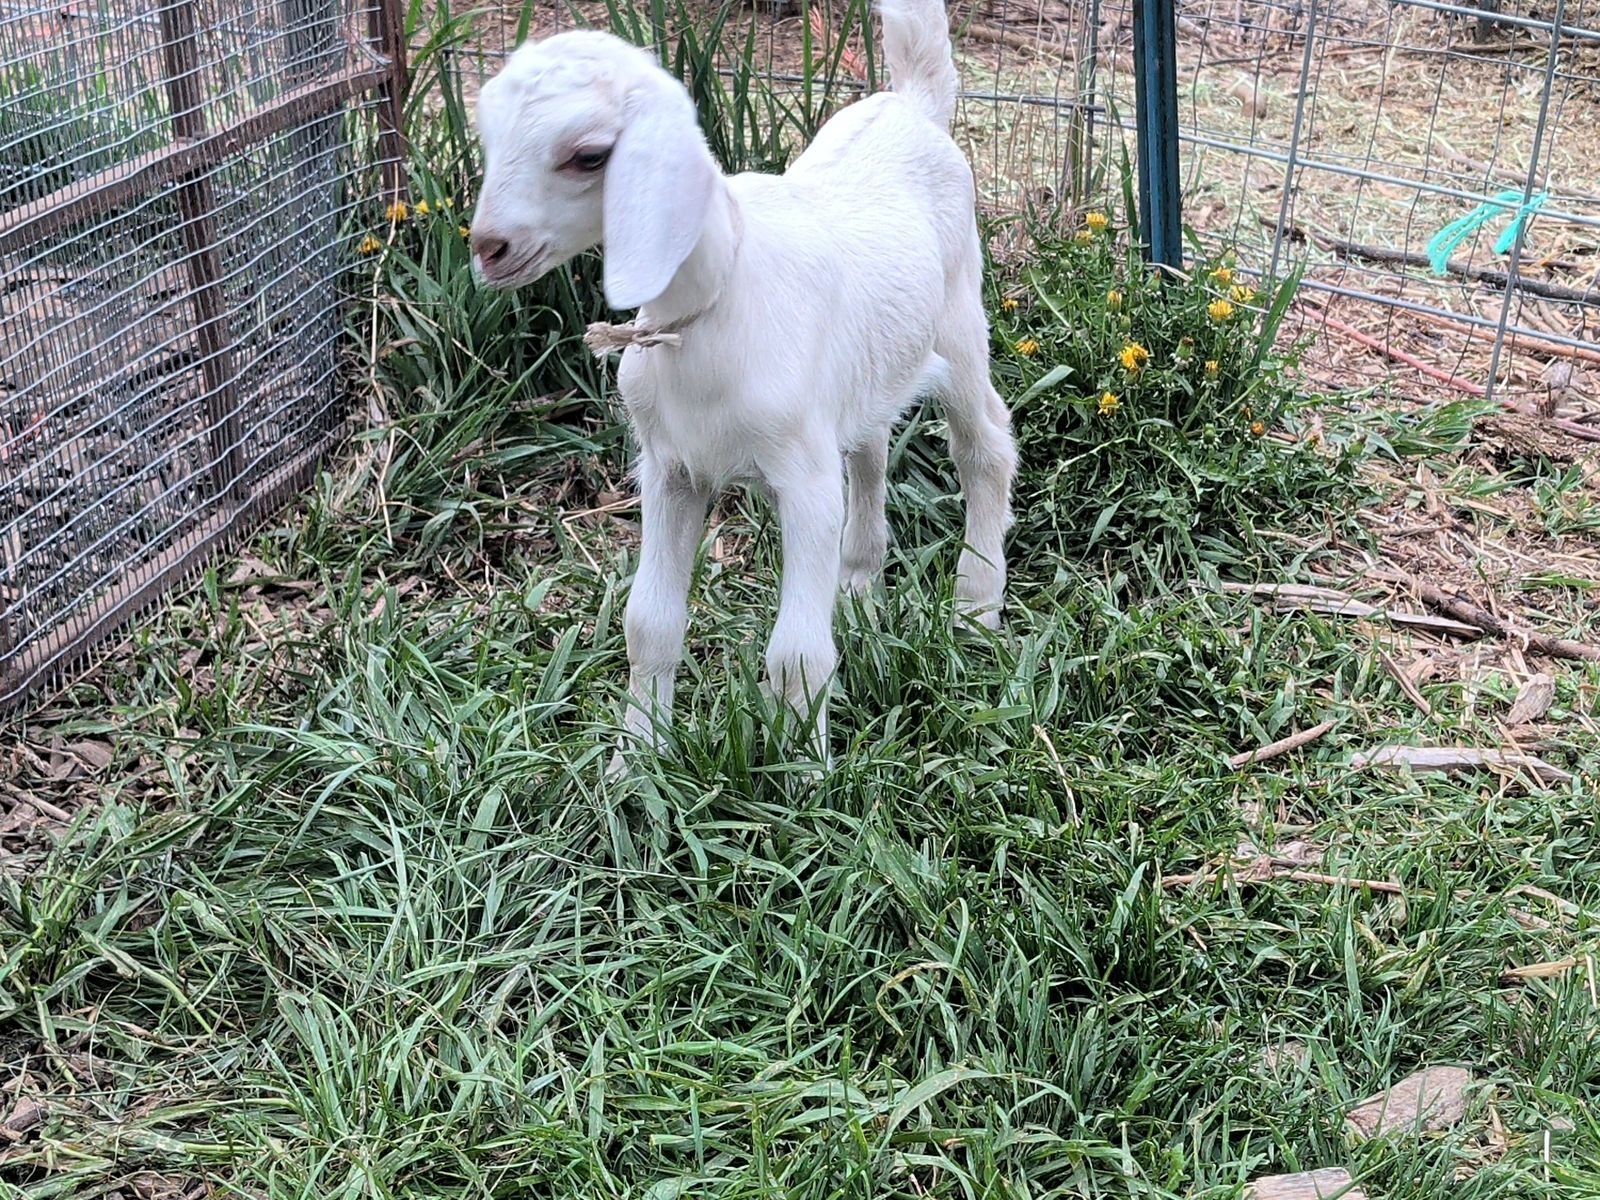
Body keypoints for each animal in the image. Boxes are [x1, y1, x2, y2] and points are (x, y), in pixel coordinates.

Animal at [469, 0, 1017, 766]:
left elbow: (798, 654)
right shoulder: (670, 469)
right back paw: (859, 588)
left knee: (985, 447)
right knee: (871, 448)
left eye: (588, 155)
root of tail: (913, 104)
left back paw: (975, 607)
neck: (711, 307)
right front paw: (635, 760)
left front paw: (805, 775)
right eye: (489, 137)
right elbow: (649, 623)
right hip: (867, 366)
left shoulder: (804, 480)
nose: (488, 248)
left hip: (960, 323)